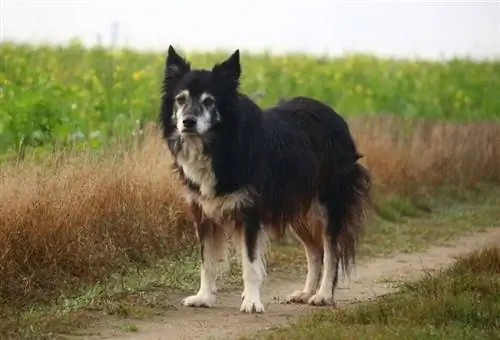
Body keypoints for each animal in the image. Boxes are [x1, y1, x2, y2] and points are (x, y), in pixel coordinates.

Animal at [158, 45, 370, 314]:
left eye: (208, 101)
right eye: (181, 99)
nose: (188, 122)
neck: (220, 143)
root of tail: (336, 117)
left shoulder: (250, 211)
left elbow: (250, 263)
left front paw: (251, 301)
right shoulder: (202, 211)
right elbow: (207, 261)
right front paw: (203, 297)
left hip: (328, 204)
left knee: (331, 250)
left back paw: (322, 295)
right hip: (298, 210)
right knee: (314, 250)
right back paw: (305, 292)